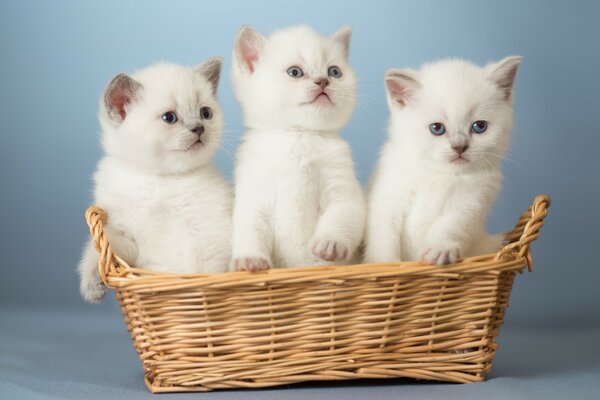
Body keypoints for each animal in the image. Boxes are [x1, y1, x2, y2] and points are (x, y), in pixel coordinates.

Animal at [78, 60, 232, 304]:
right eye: (169, 118)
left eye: (205, 113)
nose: (199, 128)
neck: (159, 179)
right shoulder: (124, 234)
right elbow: (99, 253)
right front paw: (93, 285)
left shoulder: (208, 232)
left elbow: (203, 274)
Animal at [229, 25, 364, 272]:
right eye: (295, 72)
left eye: (334, 72)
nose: (323, 81)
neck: (300, 135)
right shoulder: (254, 196)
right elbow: (249, 229)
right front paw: (250, 260)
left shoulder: (344, 189)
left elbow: (343, 214)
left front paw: (330, 243)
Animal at [364, 54, 524, 264]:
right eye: (437, 128)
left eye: (479, 126)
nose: (460, 147)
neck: (441, 174)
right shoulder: (389, 195)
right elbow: (384, 232)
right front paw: (385, 263)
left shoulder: (472, 201)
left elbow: (452, 224)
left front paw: (441, 249)